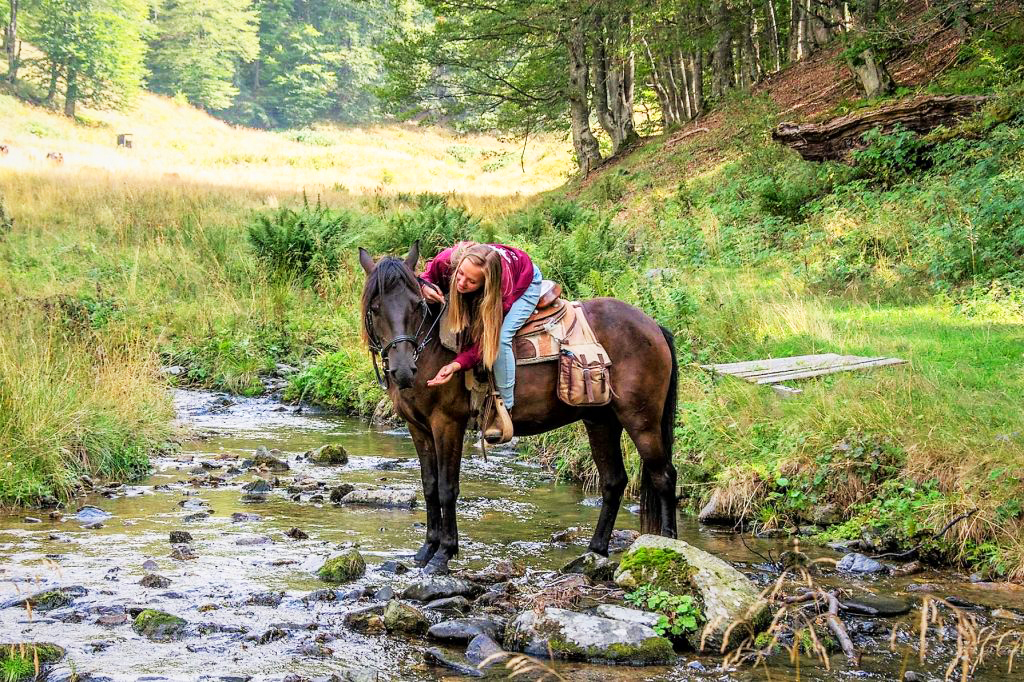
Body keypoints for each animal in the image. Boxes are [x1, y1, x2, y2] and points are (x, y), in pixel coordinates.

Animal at [360, 241, 679, 569]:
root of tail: (653, 326)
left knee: (664, 477)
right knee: (614, 482)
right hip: (601, 420)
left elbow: (448, 488)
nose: (403, 370)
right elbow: (429, 485)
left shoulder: (447, 424)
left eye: (417, 306)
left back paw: (668, 544)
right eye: (375, 308)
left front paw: (444, 553)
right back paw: (595, 550)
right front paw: (426, 550)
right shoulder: (418, 428)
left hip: (641, 419)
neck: (435, 348)